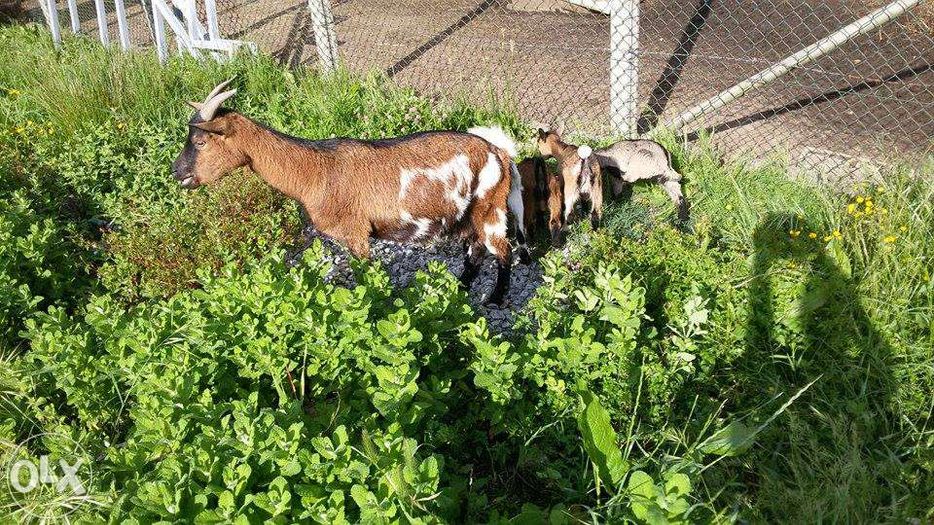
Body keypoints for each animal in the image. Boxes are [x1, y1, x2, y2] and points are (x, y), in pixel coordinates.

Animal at [172, 80, 532, 304]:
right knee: (475, 251)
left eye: (200, 141)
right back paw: (459, 289)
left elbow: (366, 274)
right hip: (469, 214)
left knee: (502, 250)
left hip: (489, 207)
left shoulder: (355, 232)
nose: (177, 172)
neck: (314, 171)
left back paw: (495, 299)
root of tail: (500, 152)